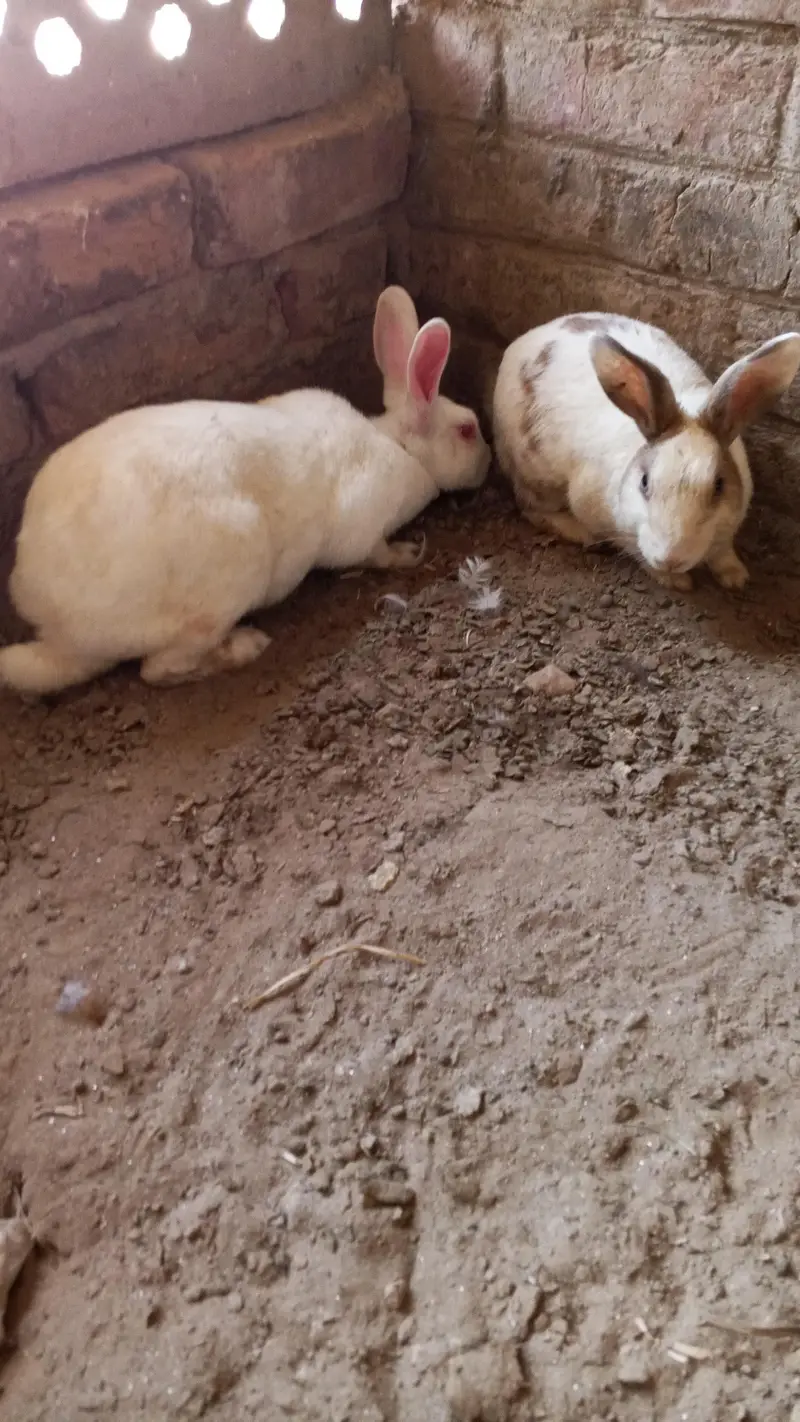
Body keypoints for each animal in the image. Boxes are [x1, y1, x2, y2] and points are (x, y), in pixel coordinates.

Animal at [0, 287, 489, 696]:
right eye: (468, 430)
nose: (487, 462)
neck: (398, 446)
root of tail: (57, 626)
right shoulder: (361, 528)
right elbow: (375, 553)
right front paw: (410, 553)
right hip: (227, 579)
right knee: (159, 669)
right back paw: (246, 646)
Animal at [492, 312, 800, 591]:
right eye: (644, 482)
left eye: (719, 486)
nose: (671, 559)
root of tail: (520, 343)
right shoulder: (609, 522)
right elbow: (635, 551)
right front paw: (675, 580)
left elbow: (723, 551)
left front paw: (736, 576)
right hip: (533, 475)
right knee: (530, 508)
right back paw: (578, 532)